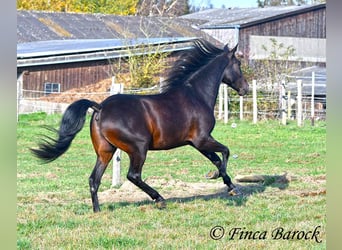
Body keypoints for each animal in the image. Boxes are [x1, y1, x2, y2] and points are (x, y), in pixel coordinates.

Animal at [31, 40, 248, 212]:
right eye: (237, 64)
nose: (245, 89)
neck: (196, 95)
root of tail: (100, 107)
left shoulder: (196, 143)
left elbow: (217, 159)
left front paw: (228, 185)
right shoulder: (202, 139)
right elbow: (226, 152)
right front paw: (222, 181)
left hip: (105, 151)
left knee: (94, 179)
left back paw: (97, 210)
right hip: (138, 148)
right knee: (133, 175)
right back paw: (159, 199)